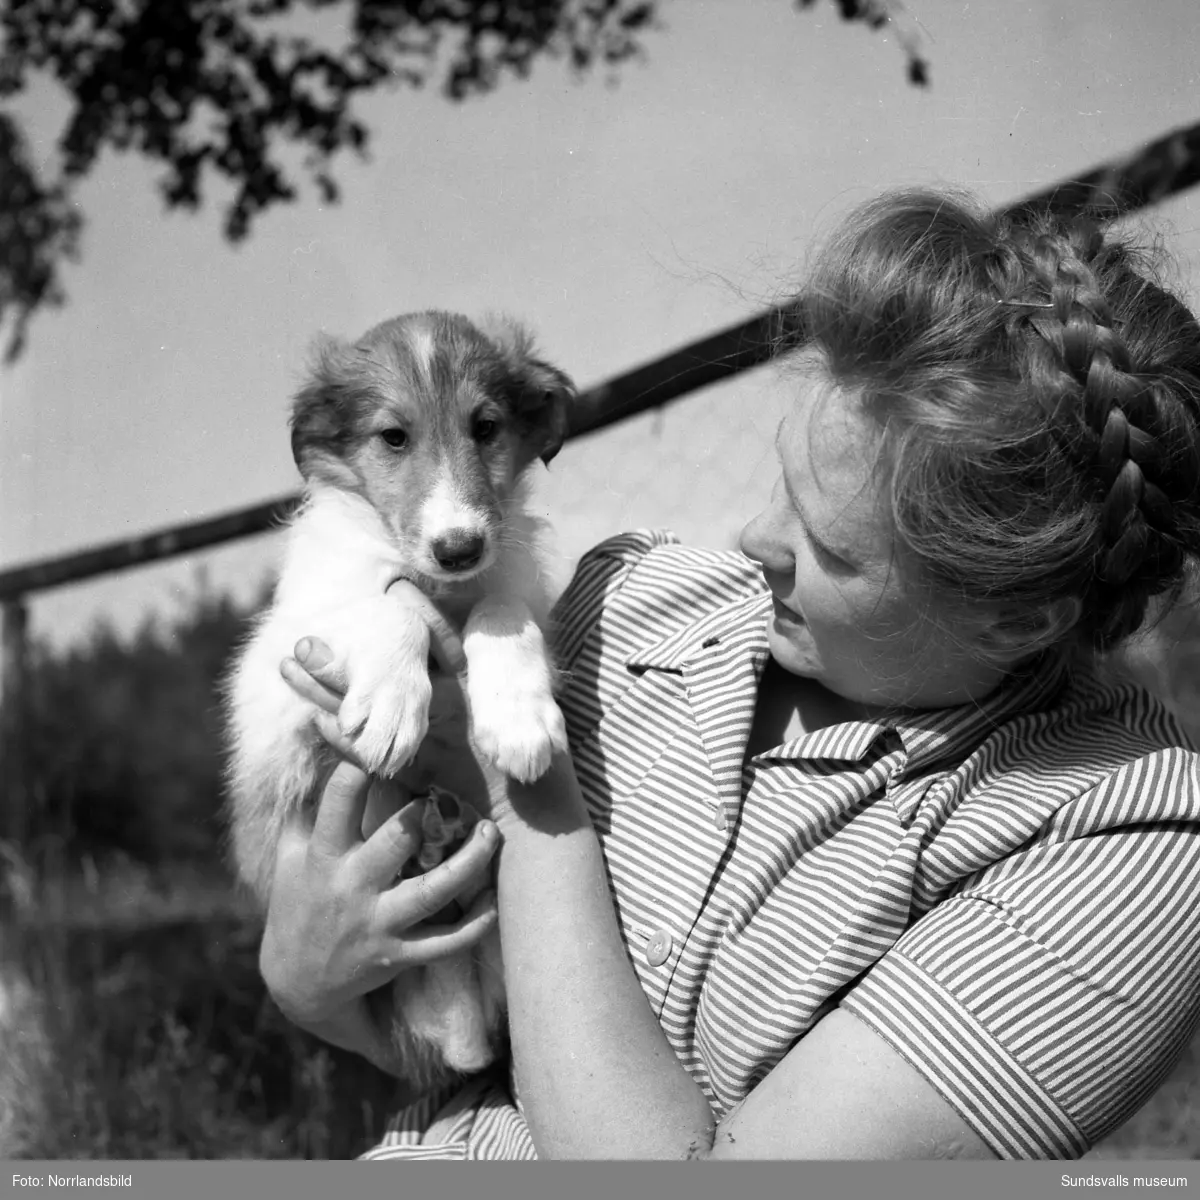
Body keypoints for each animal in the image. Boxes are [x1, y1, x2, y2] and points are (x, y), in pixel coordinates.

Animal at [228, 307, 576, 1089]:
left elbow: (500, 608)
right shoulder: (274, 672)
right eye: (393, 437)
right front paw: (390, 707)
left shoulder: (520, 593)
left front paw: (518, 719)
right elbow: (392, 604)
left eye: (486, 426)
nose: (459, 548)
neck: (439, 580)